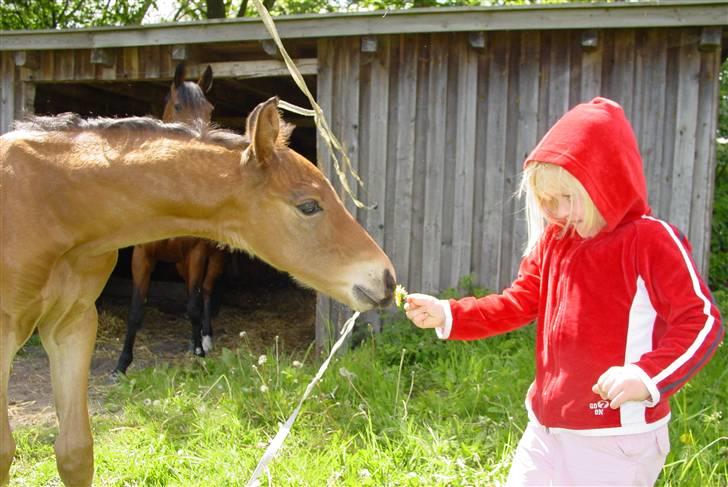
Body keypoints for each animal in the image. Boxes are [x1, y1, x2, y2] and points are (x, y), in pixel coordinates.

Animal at [0, 97, 396, 486]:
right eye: (309, 205)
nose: (387, 279)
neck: (52, 203)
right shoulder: (6, 332)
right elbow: (6, 451)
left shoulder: (73, 323)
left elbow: (75, 452)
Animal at [115, 63, 225, 378]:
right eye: (178, 106)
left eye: (210, 108)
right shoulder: (142, 256)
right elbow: (136, 310)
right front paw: (122, 364)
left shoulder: (197, 253)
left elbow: (194, 305)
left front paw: (199, 354)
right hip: (179, 263)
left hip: (213, 258)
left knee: (205, 293)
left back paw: (205, 339)